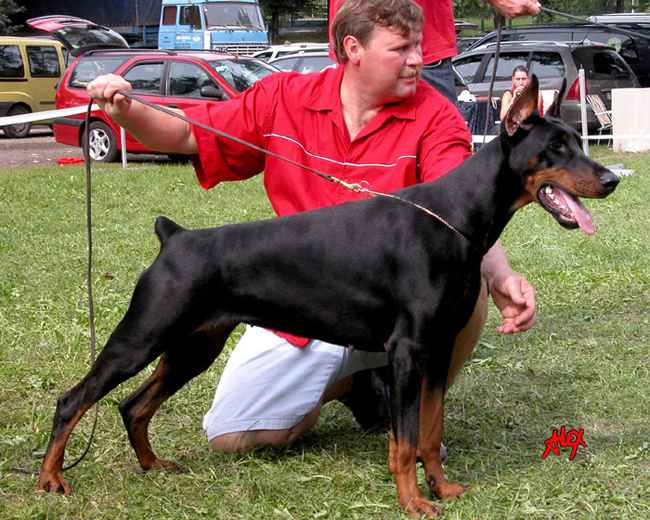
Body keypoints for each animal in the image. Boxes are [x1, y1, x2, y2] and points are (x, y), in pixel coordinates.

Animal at [38, 77, 616, 516]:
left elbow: (429, 431)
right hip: (144, 333)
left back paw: (153, 465)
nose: (611, 179)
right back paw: (51, 480)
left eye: (579, 140)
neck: (456, 218)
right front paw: (413, 502)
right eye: (556, 146)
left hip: (193, 345)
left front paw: (442, 487)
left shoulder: (436, 349)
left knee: (133, 405)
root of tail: (174, 236)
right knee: (74, 399)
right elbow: (406, 440)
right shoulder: (408, 349)